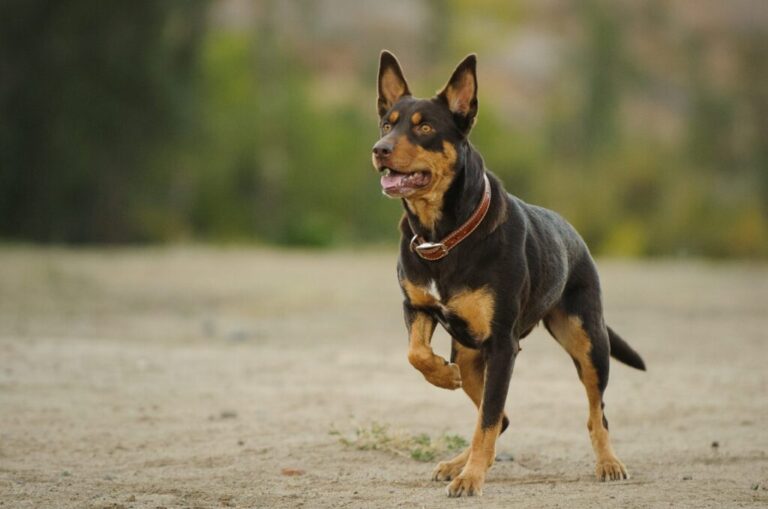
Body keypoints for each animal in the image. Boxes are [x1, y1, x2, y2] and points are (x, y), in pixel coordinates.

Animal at [370, 51, 640, 496]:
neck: (443, 234)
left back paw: (609, 463)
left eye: (425, 127)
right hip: (469, 352)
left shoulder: (502, 345)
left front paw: (471, 478)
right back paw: (458, 459)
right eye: (387, 124)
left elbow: (489, 419)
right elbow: (417, 354)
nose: (380, 149)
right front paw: (442, 377)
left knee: (594, 412)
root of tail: (573, 234)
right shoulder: (418, 308)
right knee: (500, 416)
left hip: (587, 341)